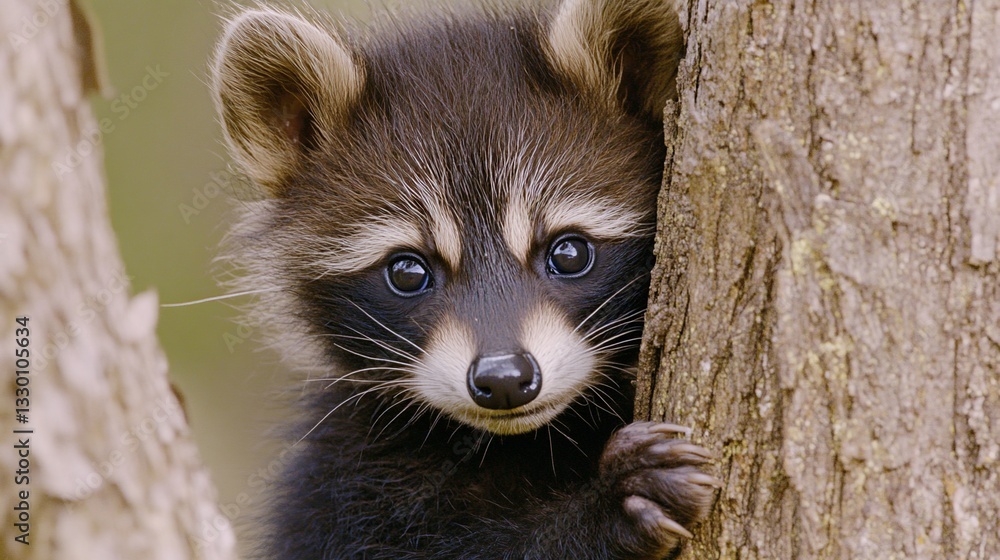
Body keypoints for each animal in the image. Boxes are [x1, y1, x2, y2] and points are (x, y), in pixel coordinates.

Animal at [210, 0, 717, 558]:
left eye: (568, 253)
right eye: (408, 271)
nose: (504, 379)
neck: (518, 439)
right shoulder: (335, 482)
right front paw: (599, 511)